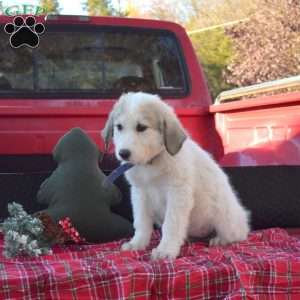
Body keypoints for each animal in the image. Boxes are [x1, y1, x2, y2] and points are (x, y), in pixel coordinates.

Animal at [102, 92, 250, 260]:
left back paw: (220, 239)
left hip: (225, 219)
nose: (123, 153)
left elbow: (171, 224)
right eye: (119, 127)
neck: (151, 163)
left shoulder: (178, 193)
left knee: (239, 234)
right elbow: (141, 222)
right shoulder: (140, 193)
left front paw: (166, 249)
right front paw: (137, 243)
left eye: (141, 127)